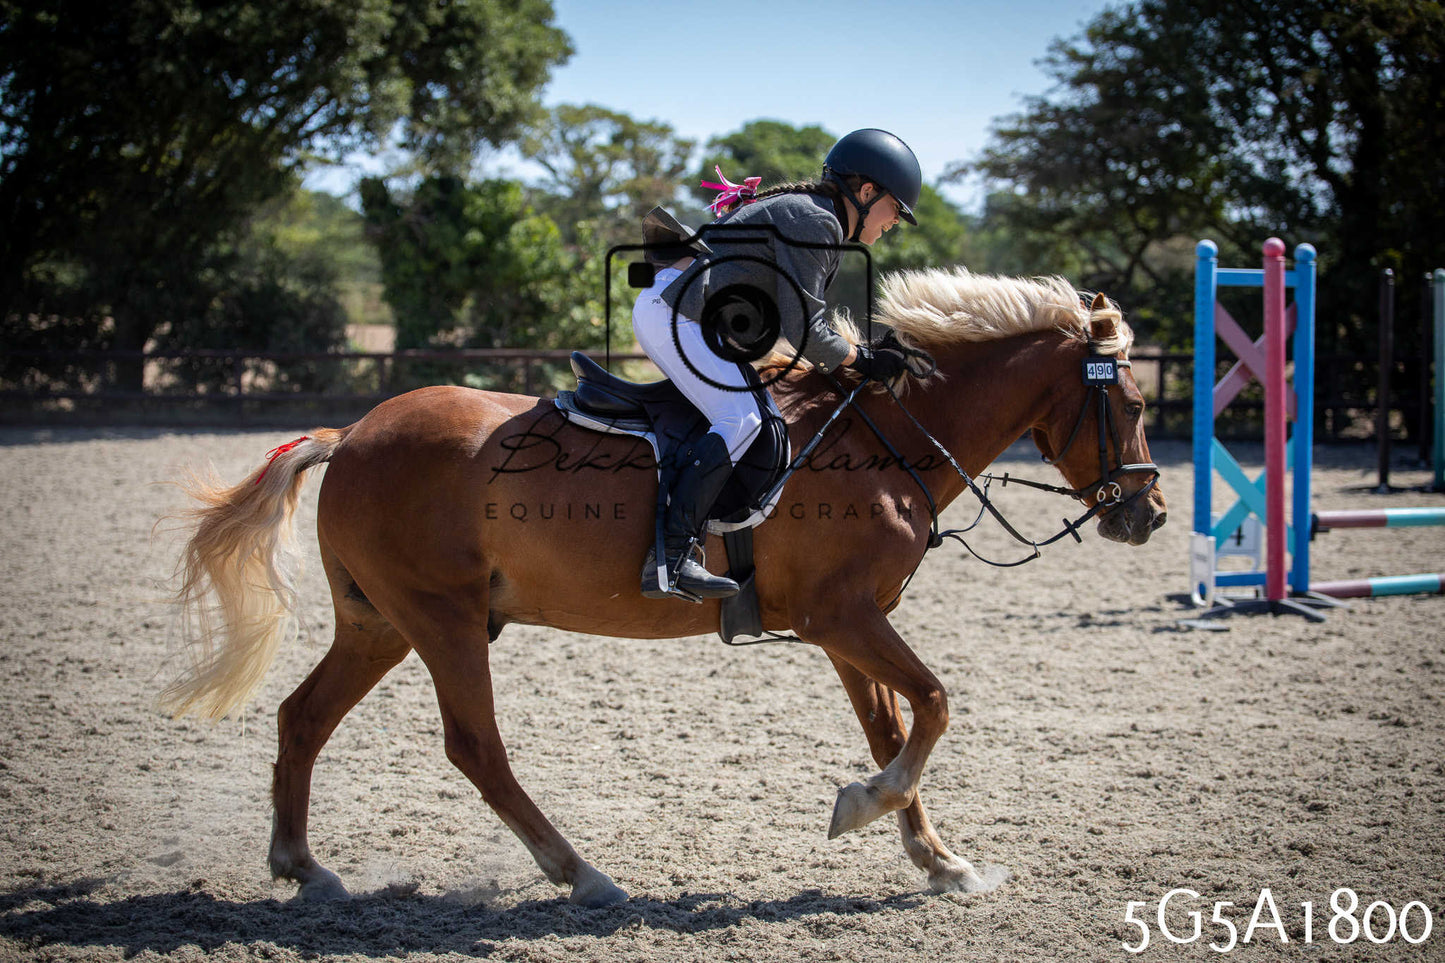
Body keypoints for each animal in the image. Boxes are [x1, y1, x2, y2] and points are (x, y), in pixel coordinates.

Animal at [162, 267, 1167, 906]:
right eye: (1131, 402)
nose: (1149, 515)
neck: (884, 437)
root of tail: (355, 433)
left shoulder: (849, 627)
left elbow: (896, 726)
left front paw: (939, 860)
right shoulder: (841, 616)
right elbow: (934, 703)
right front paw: (862, 809)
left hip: (380, 623)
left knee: (303, 718)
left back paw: (304, 866)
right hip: (439, 620)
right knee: (475, 746)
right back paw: (583, 875)